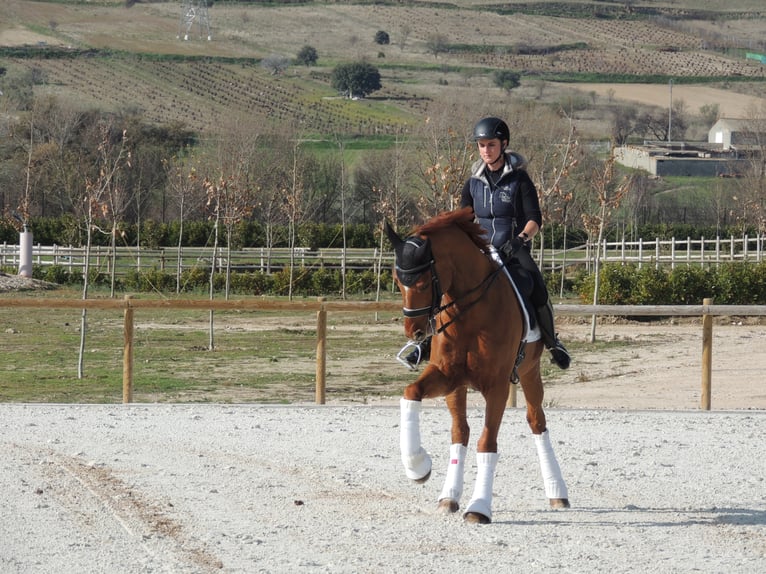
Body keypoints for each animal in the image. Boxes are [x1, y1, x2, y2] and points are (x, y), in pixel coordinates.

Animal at [390, 207, 568, 528]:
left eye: (422, 283)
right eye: (398, 281)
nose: (415, 332)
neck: (469, 310)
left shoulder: (496, 387)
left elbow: (487, 443)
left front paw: (480, 507)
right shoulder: (448, 377)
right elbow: (412, 393)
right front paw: (418, 466)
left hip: (530, 372)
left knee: (537, 422)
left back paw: (557, 492)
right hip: (458, 388)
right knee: (460, 432)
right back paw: (448, 497)